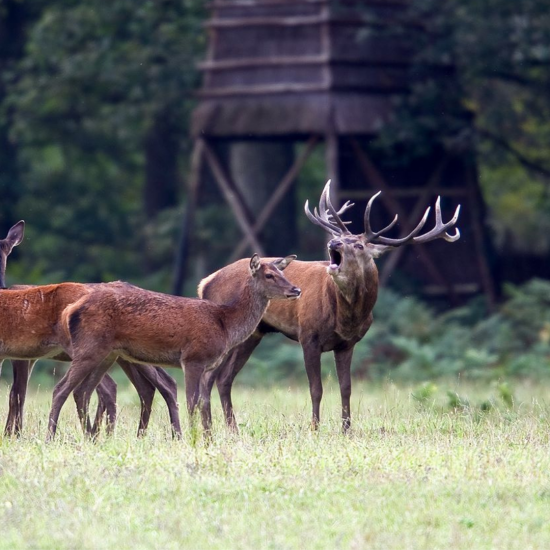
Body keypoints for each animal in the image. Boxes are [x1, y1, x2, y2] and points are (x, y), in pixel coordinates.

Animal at [0, 220, 182, 440]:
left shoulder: (19, 355)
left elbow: (16, 393)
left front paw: (11, 435)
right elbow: (17, 393)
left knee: (122, 387)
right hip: (126, 354)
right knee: (149, 386)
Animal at [45, 256, 302, 442]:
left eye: (283, 272)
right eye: (269, 275)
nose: (296, 290)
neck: (225, 325)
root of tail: (70, 309)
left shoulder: (205, 364)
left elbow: (202, 402)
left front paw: (207, 439)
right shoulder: (193, 358)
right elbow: (192, 402)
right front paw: (193, 438)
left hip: (107, 354)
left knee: (83, 391)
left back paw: (89, 437)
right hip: (89, 349)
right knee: (60, 389)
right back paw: (50, 438)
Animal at [199, 181, 462, 432]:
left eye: (359, 245)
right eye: (342, 239)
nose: (334, 241)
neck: (346, 317)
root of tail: (206, 282)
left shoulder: (348, 343)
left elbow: (346, 387)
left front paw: (346, 429)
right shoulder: (308, 335)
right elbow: (316, 388)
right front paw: (315, 428)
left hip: (253, 334)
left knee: (224, 378)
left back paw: (232, 429)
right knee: (211, 377)